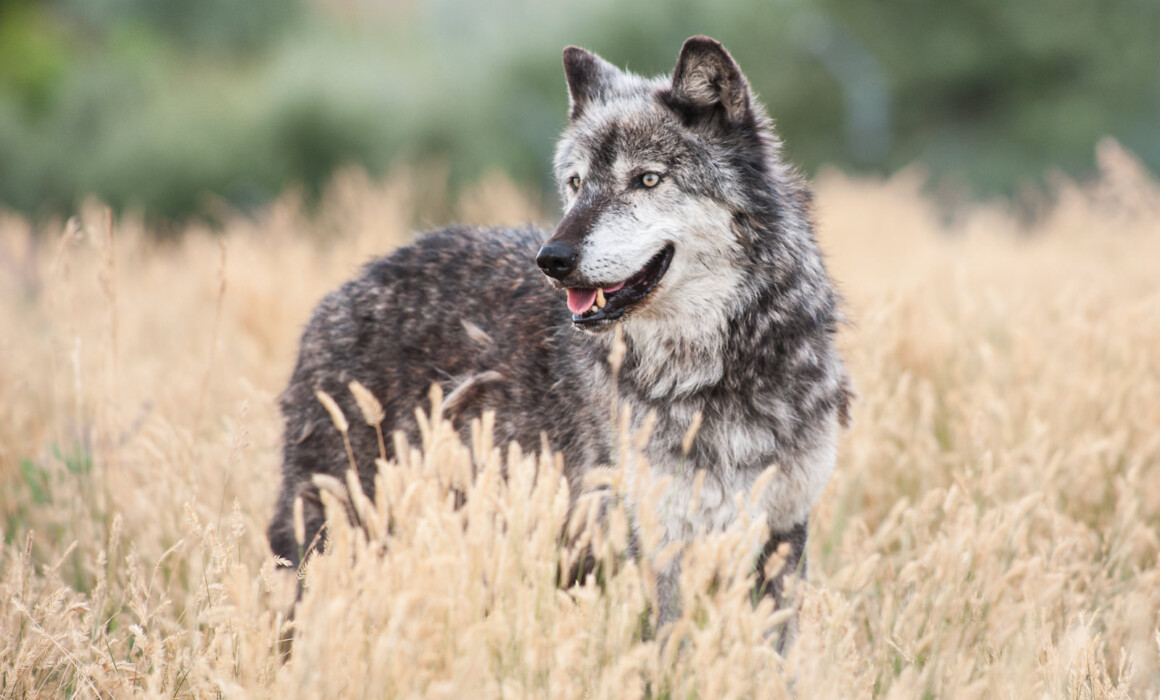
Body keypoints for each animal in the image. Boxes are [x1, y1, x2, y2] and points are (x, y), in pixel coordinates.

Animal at [267, 36, 852, 648]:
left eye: (647, 180)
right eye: (575, 184)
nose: (552, 259)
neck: (712, 371)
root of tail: (344, 290)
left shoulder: (782, 534)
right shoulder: (657, 545)